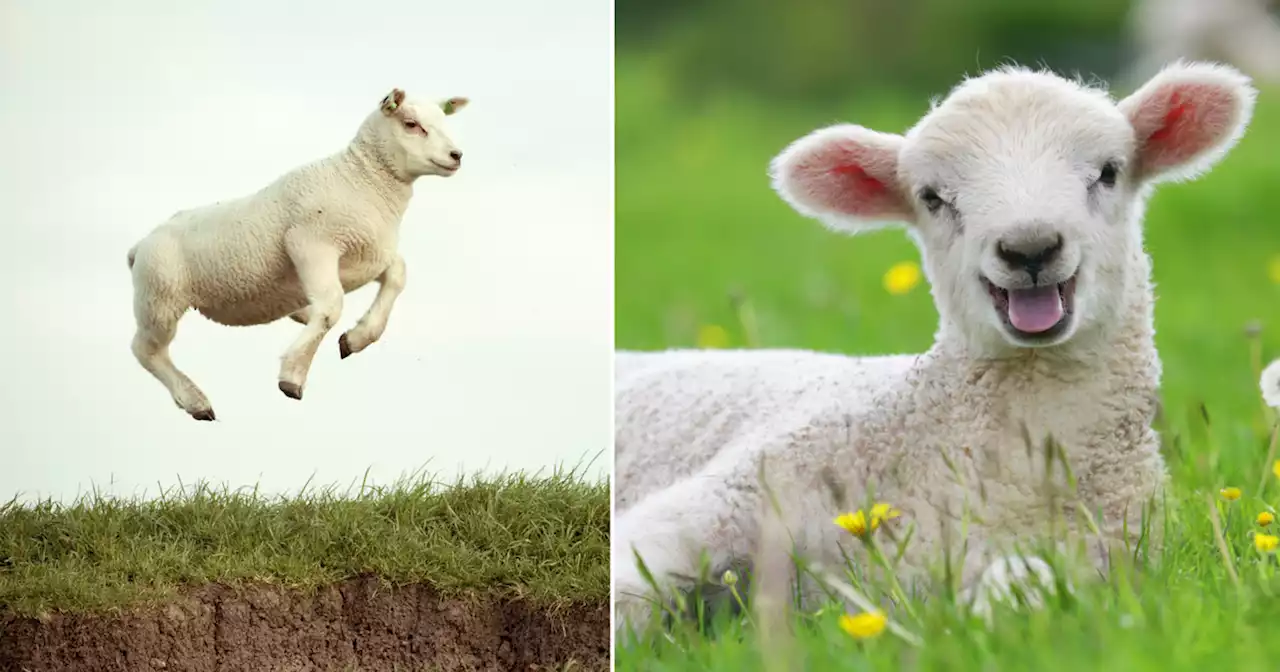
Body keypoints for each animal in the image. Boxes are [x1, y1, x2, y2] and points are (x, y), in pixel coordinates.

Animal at [124, 86, 471, 417]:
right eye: (411, 124)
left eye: (443, 121)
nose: (456, 155)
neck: (362, 180)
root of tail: (141, 244)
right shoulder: (310, 242)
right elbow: (331, 308)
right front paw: (292, 375)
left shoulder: (369, 254)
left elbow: (397, 276)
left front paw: (356, 338)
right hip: (159, 297)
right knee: (146, 350)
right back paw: (195, 401)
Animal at [614, 60, 1254, 632]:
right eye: (931, 197)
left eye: (1108, 172)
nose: (1029, 247)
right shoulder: (735, 492)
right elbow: (629, 581)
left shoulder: (1105, 557)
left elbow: (1026, 587)